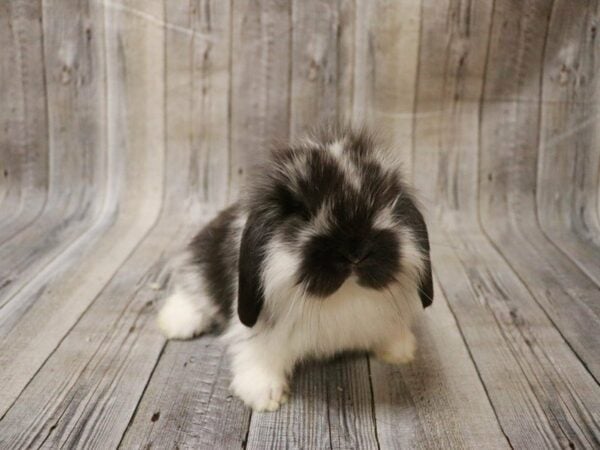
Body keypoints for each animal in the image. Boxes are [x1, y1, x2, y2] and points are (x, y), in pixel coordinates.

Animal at [157, 125, 434, 412]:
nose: (355, 252)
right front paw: (264, 394)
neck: (345, 294)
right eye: (302, 214)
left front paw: (400, 351)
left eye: (383, 204)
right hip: (203, 263)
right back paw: (175, 323)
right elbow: (259, 353)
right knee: (195, 289)